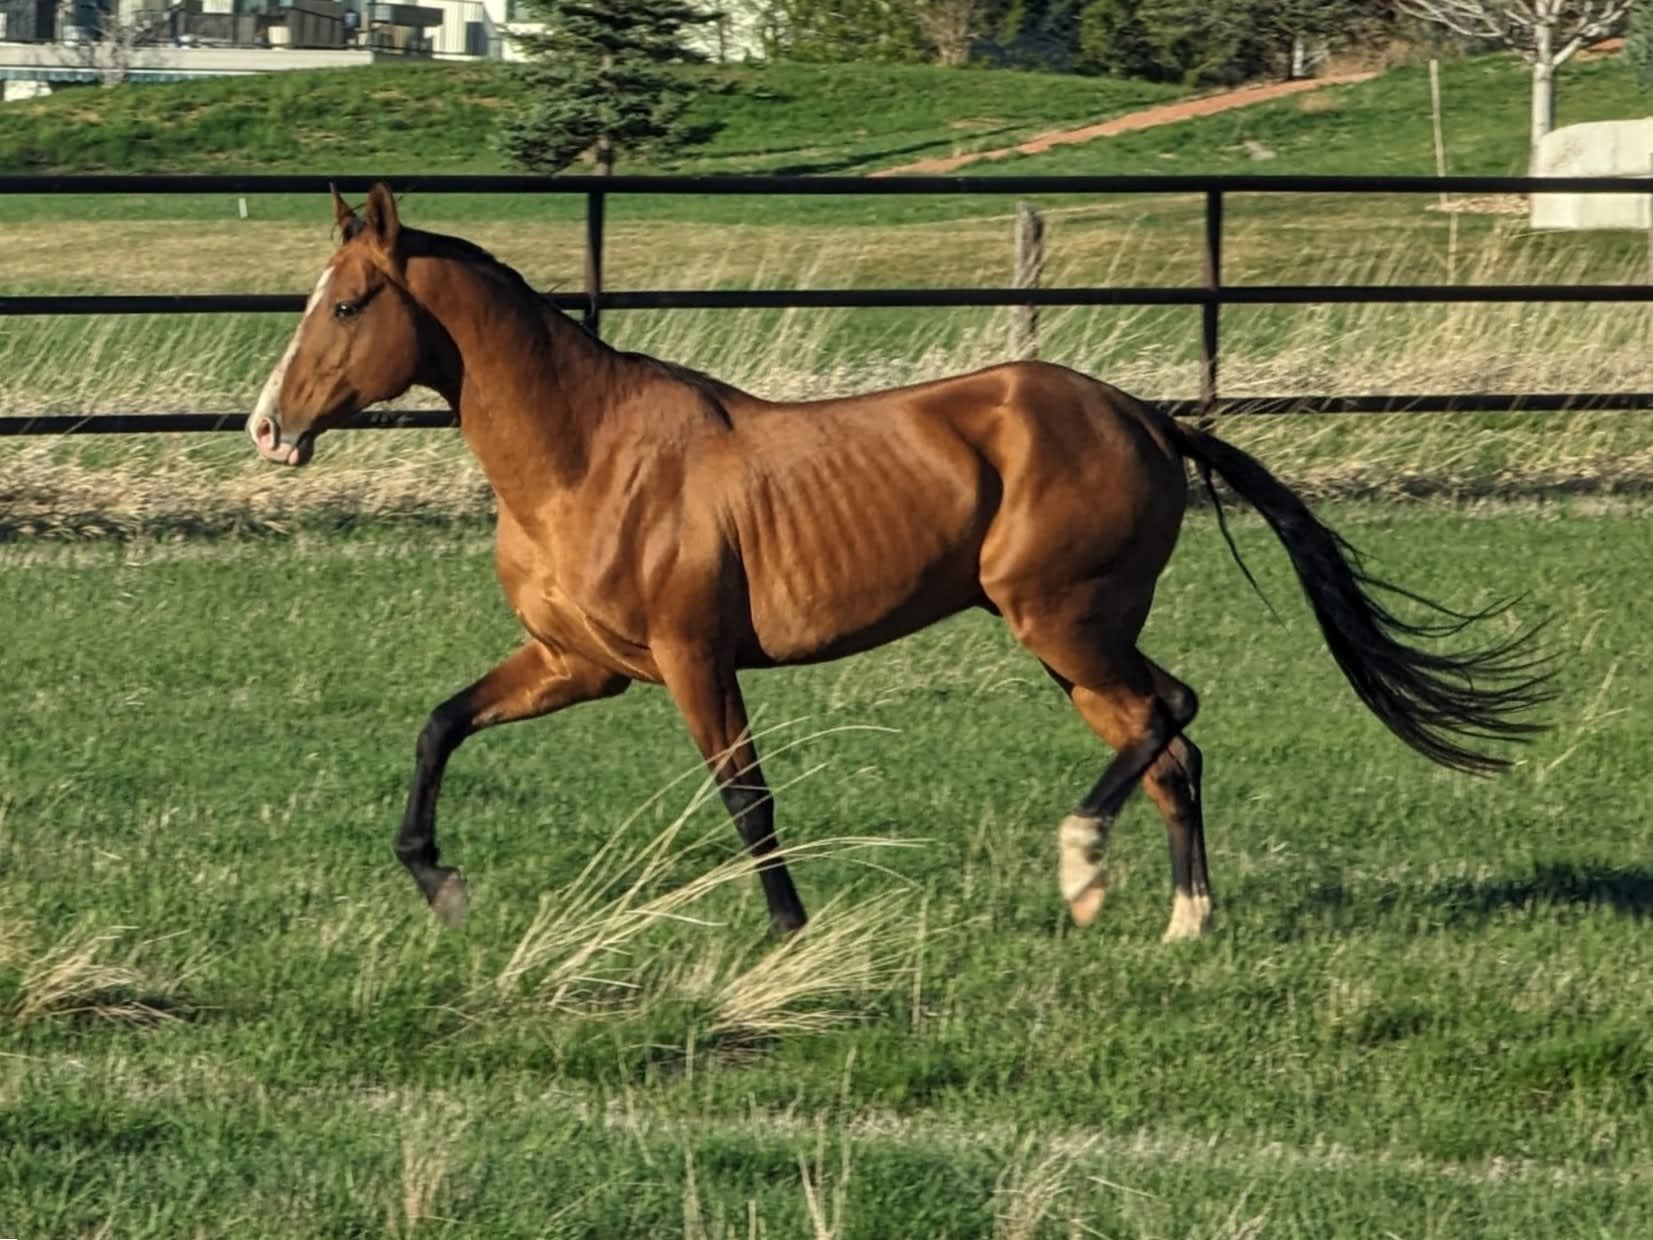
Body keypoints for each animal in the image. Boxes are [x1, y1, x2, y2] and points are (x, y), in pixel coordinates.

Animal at [246, 183, 1552, 943]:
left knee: (1172, 710)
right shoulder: (577, 661)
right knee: (1172, 744)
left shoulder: (693, 657)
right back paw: (1183, 923)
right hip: (1072, 642)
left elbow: (747, 792)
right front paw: (439, 881)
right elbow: (440, 724)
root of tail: (1145, 415)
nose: (267, 428)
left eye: (351, 303)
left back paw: (1082, 870)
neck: (587, 457)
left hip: (1062, 621)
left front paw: (788, 930)